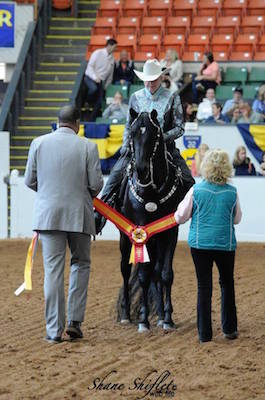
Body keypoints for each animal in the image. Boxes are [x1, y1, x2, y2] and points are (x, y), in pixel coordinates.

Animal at [116, 108, 187, 332]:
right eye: (132, 134)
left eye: (154, 136)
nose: (141, 170)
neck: (152, 193)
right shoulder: (140, 232)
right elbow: (143, 276)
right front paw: (143, 321)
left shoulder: (170, 232)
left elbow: (165, 274)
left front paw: (167, 319)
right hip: (125, 237)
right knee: (125, 269)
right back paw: (126, 315)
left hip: (156, 240)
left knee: (156, 271)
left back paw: (160, 316)